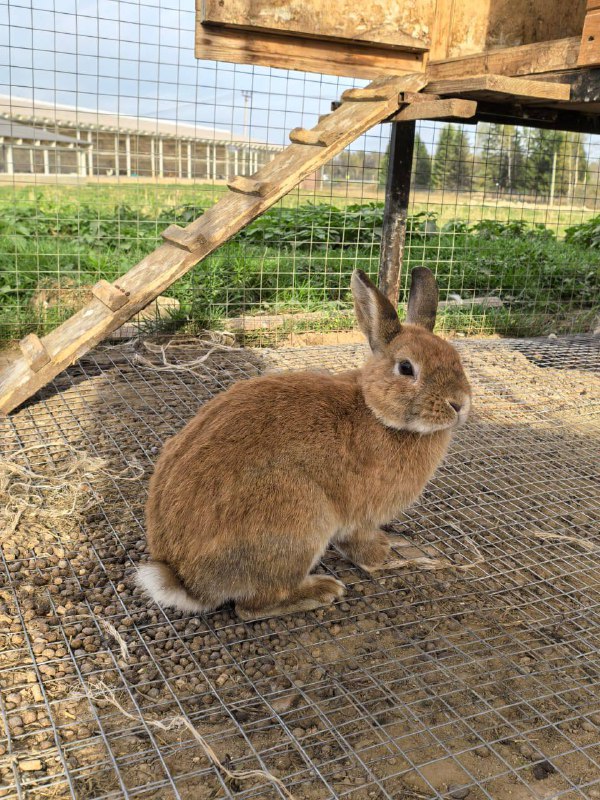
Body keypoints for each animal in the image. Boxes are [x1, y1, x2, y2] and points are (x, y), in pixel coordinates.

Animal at [138, 268, 472, 620]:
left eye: (456, 358)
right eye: (406, 368)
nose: (459, 404)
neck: (375, 410)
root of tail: (188, 582)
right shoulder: (359, 516)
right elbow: (361, 548)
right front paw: (384, 556)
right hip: (300, 521)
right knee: (252, 606)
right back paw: (322, 590)